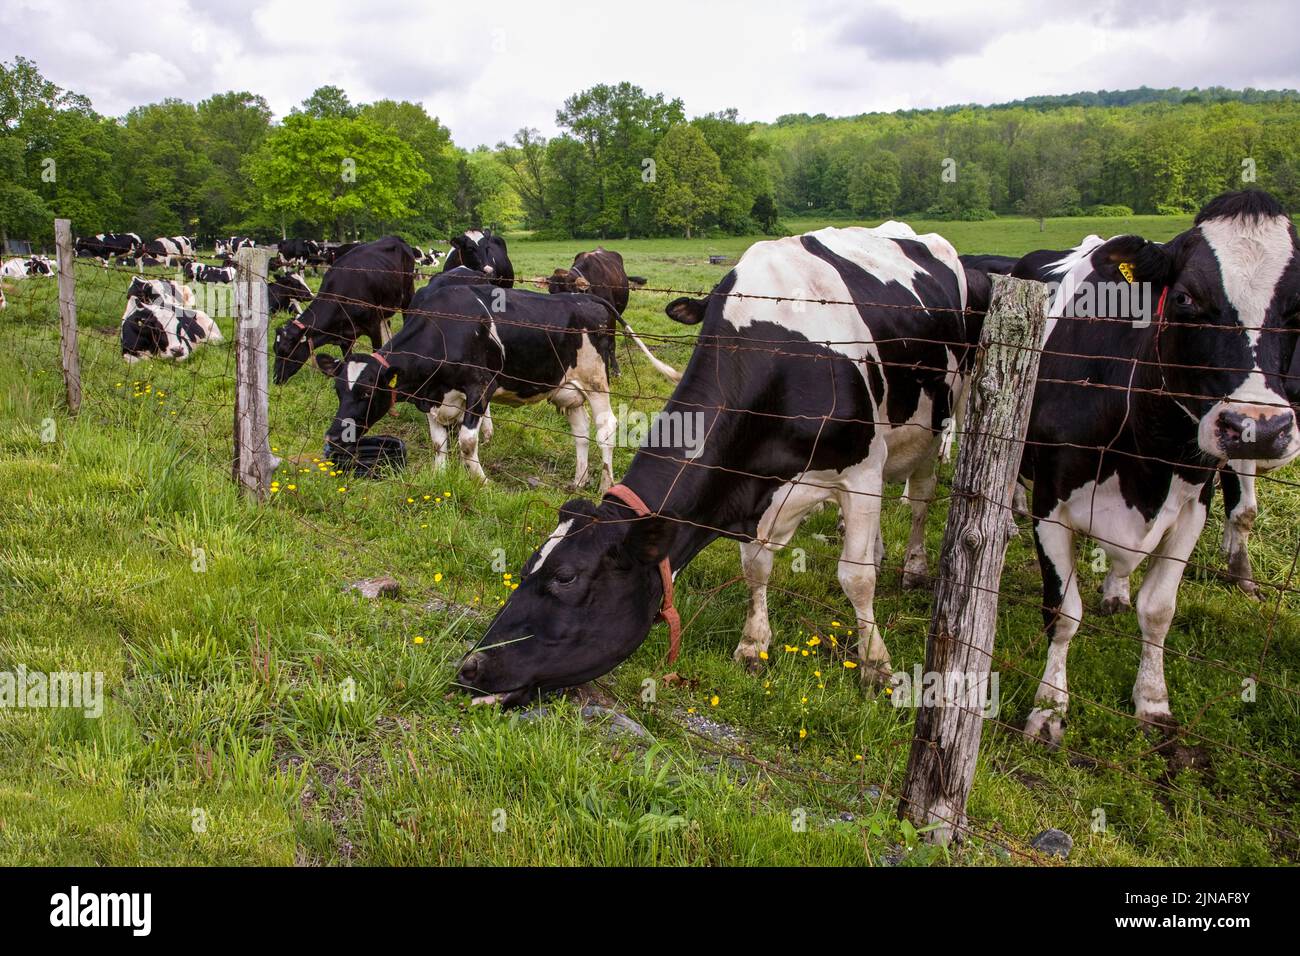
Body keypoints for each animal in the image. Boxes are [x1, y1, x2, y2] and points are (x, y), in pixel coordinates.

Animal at [271, 236, 413, 385]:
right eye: (274, 349)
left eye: (286, 351)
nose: (276, 378)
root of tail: (394, 238)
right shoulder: (345, 339)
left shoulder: (373, 327)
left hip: (407, 295)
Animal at [452, 222, 987, 702]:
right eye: (528, 567)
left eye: (566, 577)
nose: (470, 666)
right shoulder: (751, 487)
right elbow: (756, 568)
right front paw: (753, 644)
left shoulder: (860, 472)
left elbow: (855, 578)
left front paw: (876, 665)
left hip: (940, 417)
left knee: (919, 500)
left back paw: (914, 566)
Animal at [1003, 191, 1300, 743]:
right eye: (1184, 298)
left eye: (1298, 306)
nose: (1259, 428)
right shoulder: (1050, 505)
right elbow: (1063, 613)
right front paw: (1048, 708)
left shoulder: (1192, 508)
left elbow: (1159, 610)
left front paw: (1153, 700)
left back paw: (1116, 593)